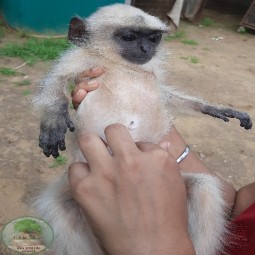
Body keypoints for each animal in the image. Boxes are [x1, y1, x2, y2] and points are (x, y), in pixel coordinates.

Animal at [32, 3, 252, 255]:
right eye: (129, 37)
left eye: (154, 38)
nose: (146, 48)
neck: (122, 67)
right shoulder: (82, 60)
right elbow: (55, 81)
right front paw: (53, 118)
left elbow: (168, 97)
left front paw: (214, 108)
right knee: (58, 207)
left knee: (203, 188)